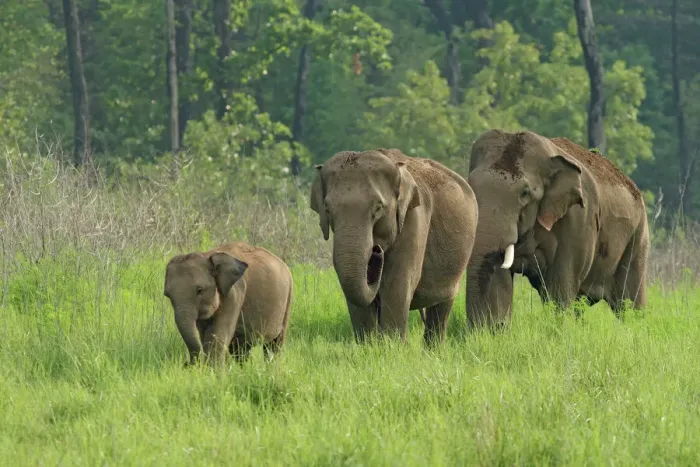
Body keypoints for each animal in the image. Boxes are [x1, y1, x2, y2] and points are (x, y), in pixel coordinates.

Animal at [163, 242, 293, 366]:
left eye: (200, 290)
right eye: (167, 295)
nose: (186, 364)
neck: (207, 255)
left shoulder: (234, 293)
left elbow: (218, 334)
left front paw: (213, 370)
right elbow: (205, 334)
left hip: (288, 298)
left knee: (274, 344)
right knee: (241, 347)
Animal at [310, 148, 478, 344]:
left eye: (378, 208)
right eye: (327, 209)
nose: (377, 251)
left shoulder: (415, 219)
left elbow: (397, 283)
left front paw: (391, 346)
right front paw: (368, 345)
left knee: (442, 306)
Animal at [465, 129, 649, 328]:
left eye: (525, 193)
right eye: (470, 186)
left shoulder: (578, 218)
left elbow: (560, 283)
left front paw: (560, 328)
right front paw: (492, 329)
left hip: (638, 236)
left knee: (629, 301)